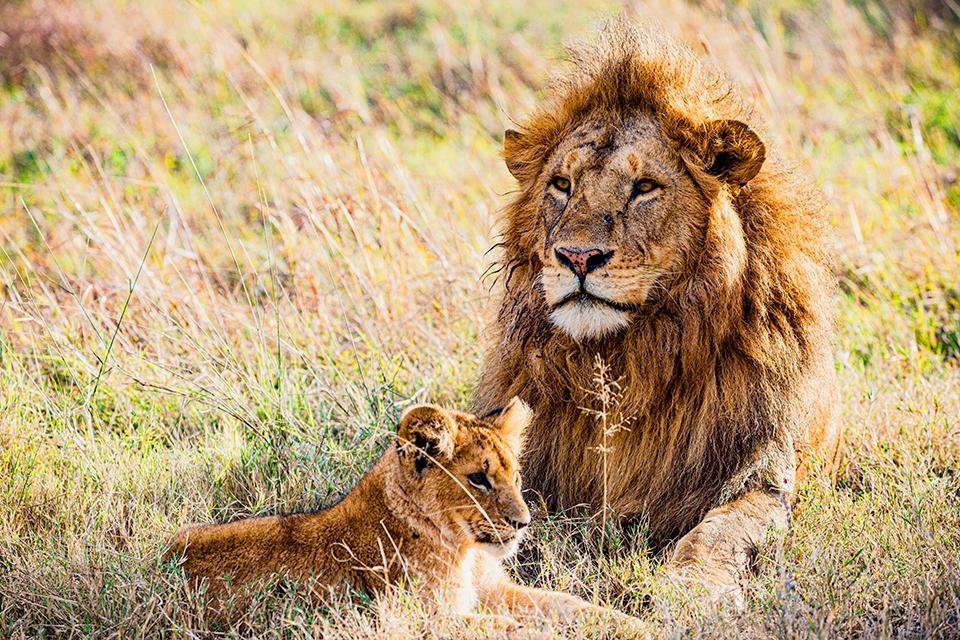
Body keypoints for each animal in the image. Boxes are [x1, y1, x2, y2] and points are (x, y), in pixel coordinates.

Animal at [474, 23, 840, 596]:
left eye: (644, 187)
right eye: (562, 185)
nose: (577, 257)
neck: (627, 359)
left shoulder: (761, 470)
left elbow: (721, 532)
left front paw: (689, 589)